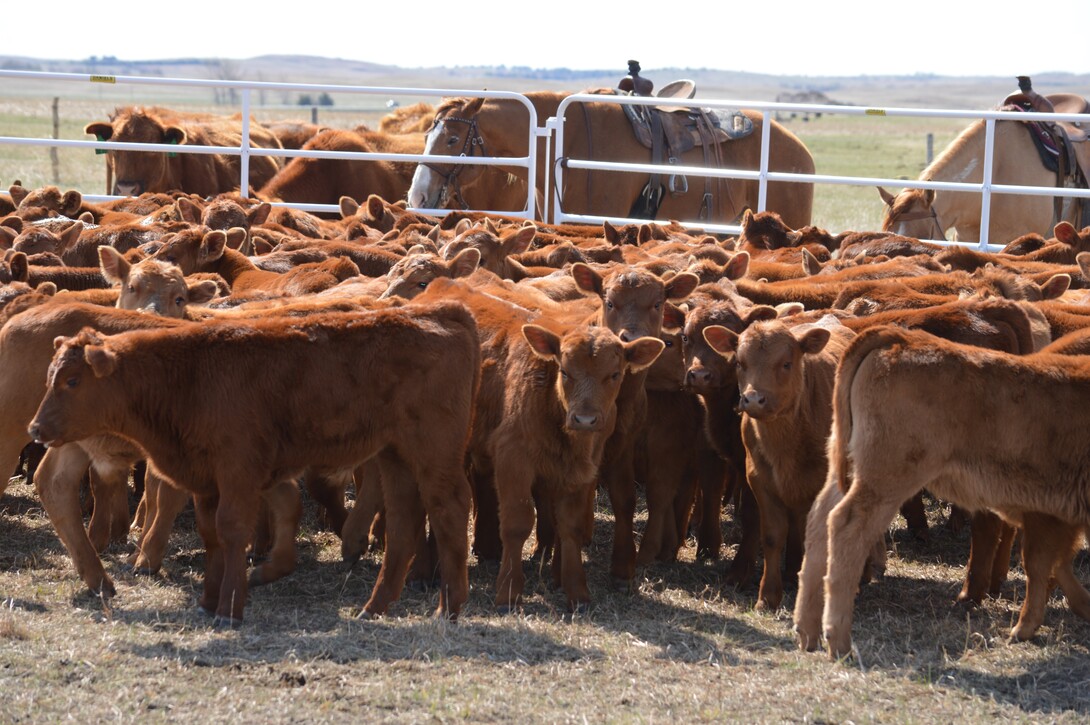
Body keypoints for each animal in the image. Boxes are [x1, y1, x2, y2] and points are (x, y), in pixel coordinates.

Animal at [29, 301, 481, 624]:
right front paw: (209, 600)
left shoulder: (238, 473)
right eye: (49, 377)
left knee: (449, 510)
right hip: (395, 456)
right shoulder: (207, 479)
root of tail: (441, 312)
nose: (36, 428)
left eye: (72, 381)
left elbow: (233, 532)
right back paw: (375, 608)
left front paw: (231, 607)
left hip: (433, 453)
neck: (189, 376)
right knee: (404, 524)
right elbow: (212, 535)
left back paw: (449, 609)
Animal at [793, 326, 1090, 658]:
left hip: (847, 469)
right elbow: (1044, 564)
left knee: (819, 520)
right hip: (886, 479)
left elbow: (1051, 563)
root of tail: (900, 337)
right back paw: (839, 643)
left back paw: (807, 633)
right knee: (847, 525)